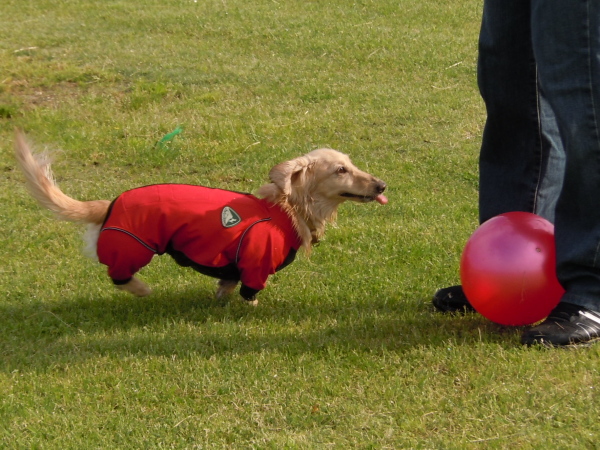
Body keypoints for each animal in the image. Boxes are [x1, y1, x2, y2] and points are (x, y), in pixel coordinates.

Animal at [15, 130, 390, 306]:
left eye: (351, 164)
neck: (286, 209)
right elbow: (250, 291)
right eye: (340, 170)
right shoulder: (256, 264)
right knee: (118, 276)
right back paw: (142, 290)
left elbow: (225, 284)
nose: (383, 185)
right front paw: (251, 306)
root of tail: (108, 204)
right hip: (133, 247)